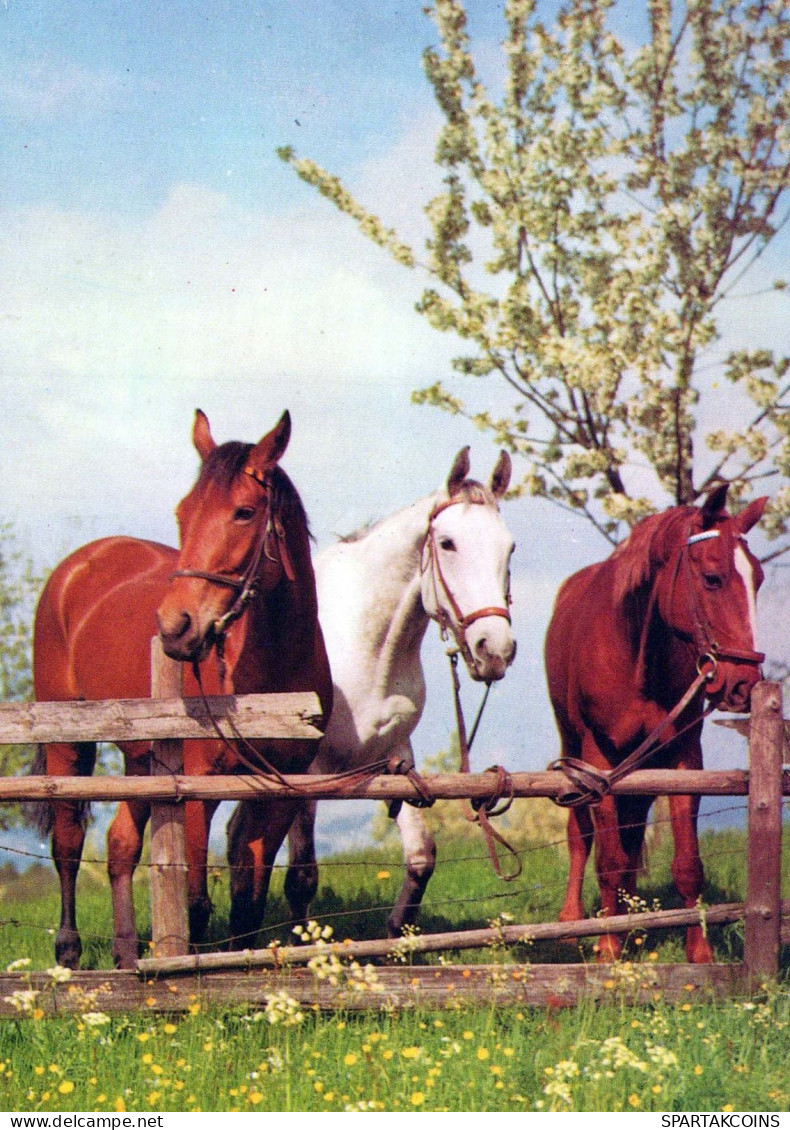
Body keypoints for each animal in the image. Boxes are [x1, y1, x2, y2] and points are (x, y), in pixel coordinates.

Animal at [30, 411, 330, 967]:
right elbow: (194, 903)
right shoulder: (196, 791)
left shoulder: (278, 790)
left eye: (244, 512)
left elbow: (248, 904)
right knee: (68, 845)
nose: (174, 627)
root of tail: (78, 566)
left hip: (141, 760)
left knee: (121, 844)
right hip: (69, 745)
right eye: (183, 513)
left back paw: (127, 956)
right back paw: (68, 951)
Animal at [226, 445, 515, 940]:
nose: (495, 649)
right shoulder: (308, 774)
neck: (367, 650)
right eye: (447, 543)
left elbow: (421, 857)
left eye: (509, 547)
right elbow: (302, 877)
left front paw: (397, 934)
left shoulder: (396, 759)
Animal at [544, 485, 768, 962]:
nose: (742, 683)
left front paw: (698, 953)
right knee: (581, 834)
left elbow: (686, 863)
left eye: (757, 579)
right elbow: (607, 861)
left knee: (631, 834)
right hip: (573, 747)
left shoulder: (683, 758)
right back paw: (573, 924)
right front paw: (607, 949)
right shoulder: (598, 762)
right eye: (712, 578)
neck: (635, 655)